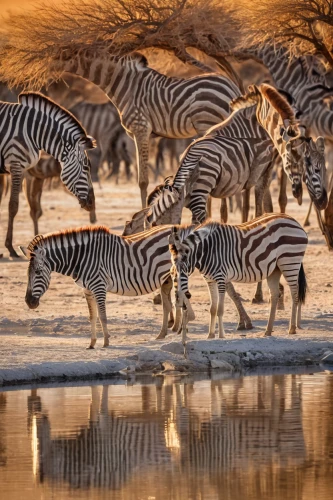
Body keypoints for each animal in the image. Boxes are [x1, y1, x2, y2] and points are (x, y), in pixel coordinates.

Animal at [0, 92, 96, 260]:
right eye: (86, 167)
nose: (92, 203)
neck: (32, 132)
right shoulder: (16, 164)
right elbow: (13, 206)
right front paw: (10, 248)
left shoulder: (23, 169)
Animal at [18, 223, 252, 348]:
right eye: (27, 274)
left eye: (37, 273)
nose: (29, 302)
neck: (81, 258)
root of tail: (185, 228)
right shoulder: (87, 290)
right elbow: (92, 317)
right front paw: (92, 343)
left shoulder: (98, 286)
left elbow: (102, 316)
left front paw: (106, 342)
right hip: (169, 276)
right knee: (171, 302)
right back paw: (166, 333)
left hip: (179, 271)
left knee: (188, 295)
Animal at [59, 48, 240, 207]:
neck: (124, 84)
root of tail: (232, 85)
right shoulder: (135, 134)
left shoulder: (140, 129)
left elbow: (142, 181)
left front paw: (144, 219)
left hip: (208, 124)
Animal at [170, 213, 308, 338]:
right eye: (172, 272)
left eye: (184, 266)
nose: (181, 296)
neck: (206, 252)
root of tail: (293, 220)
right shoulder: (210, 281)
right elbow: (212, 309)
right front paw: (210, 335)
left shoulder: (220, 278)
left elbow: (220, 309)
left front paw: (221, 335)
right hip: (275, 269)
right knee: (274, 295)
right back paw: (268, 331)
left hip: (289, 261)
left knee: (294, 293)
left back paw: (292, 328)